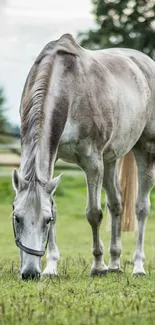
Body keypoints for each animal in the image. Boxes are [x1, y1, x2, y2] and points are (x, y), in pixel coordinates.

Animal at [11, 33, 155, 278]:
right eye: (17, 218)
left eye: (45, 221)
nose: (30, 273)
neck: (68, 88)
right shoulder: (56, 158)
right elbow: (58, 206)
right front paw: (51, 267)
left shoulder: (93, 162)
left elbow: (94, 213)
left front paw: (97, 266)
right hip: (111, 159)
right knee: (116, 204)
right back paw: (114, 263)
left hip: (144, 149)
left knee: (141, 208)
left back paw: (137, 266)